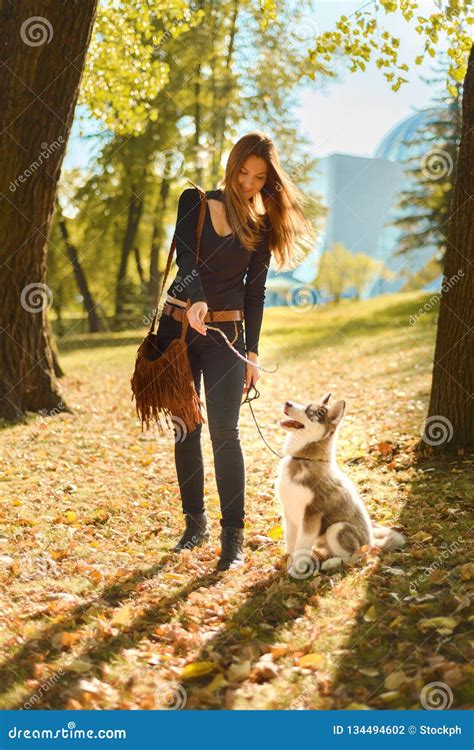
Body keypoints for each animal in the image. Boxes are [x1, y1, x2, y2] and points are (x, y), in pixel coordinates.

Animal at [274, 396, 404, 580]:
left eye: (310, 411)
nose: (287, 403)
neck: (304, 459)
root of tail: (372, 541)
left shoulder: (311, 515)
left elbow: (301, 546)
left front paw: (297, 569)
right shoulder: (289, 511)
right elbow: (291, 541)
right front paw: (287, 560)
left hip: (337, 529)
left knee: (357, 557)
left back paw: (332, 563)